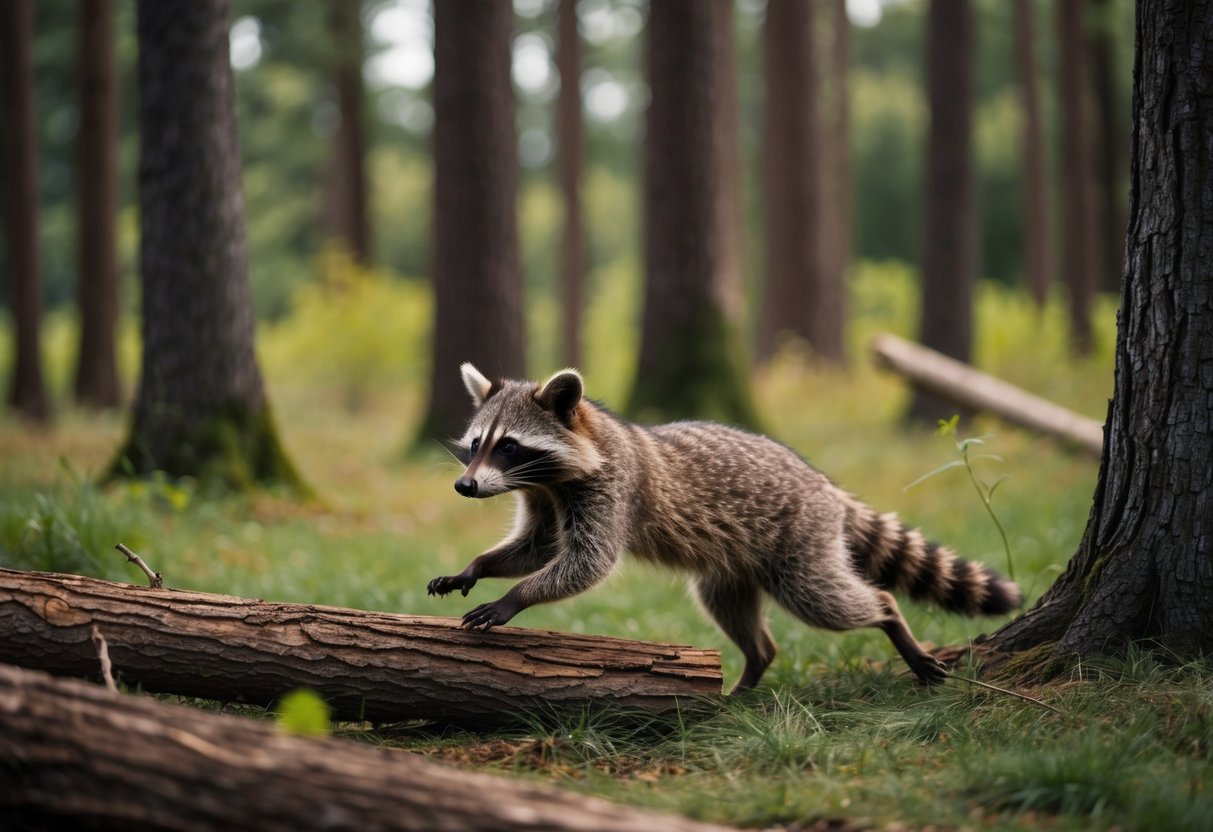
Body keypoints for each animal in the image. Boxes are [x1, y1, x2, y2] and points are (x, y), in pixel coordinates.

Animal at [428, 363, 1021, 692]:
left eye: (509, 446)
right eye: (476, 443)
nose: (463, 487)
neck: (553, 474)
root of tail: (824, 486)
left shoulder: (612, 488)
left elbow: (585, 562)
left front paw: (517, 597)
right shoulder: (544, 498)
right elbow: (536, 546)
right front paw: (477, 567)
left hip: (801, 541)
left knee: (827, 598)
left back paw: (888, 616)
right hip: (733, 565)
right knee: (731, 609)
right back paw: (753, 667)